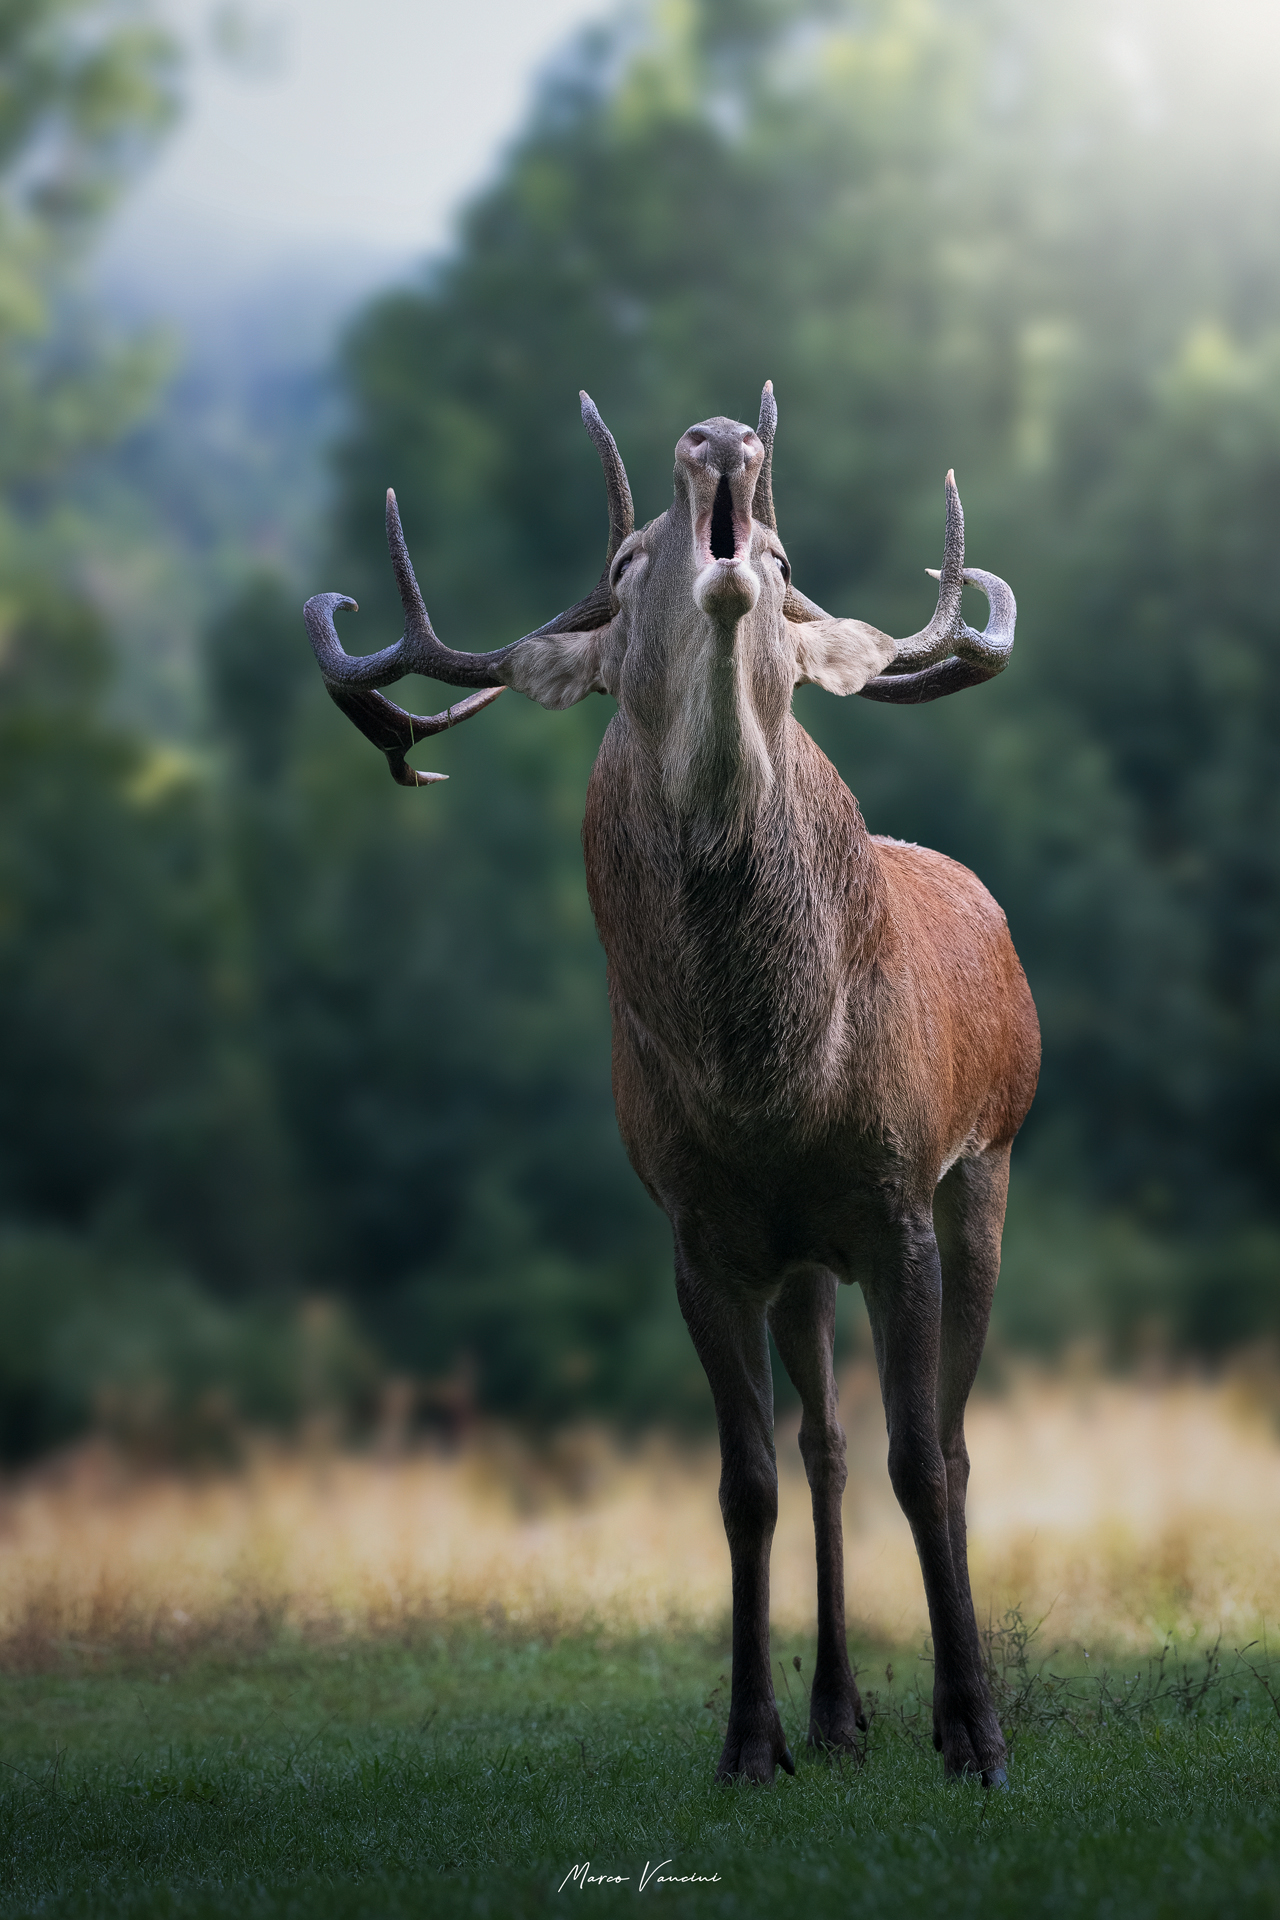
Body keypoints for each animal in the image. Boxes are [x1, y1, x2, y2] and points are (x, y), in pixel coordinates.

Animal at [303, 385, 1040, 1789]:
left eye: (787, 561)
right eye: (623, 565)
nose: (718, 442)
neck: (771, 1086)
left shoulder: (899, 1196)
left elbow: (926, 1459)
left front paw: (975, 1733)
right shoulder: (700, 1232)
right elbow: (742, 1481)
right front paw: (751, 1739)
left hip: (987, 1163)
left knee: (954, 1441)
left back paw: (929, 1709)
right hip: (802, 1260)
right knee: (822, 1448)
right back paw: (838, 1710)